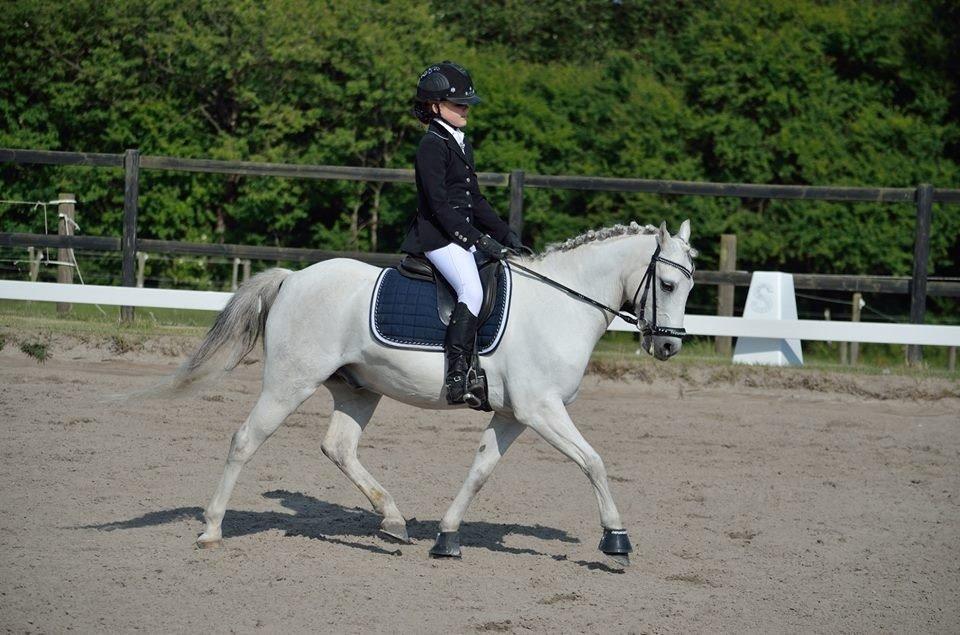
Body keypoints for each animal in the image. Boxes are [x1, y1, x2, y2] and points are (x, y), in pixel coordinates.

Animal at [165, 219, 696, 565]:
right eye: (668, 284)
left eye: (689, 287)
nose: (668, 345)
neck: (559, 305)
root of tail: (293, 278)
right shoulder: (540, 409)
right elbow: (593, 462)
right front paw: (616, 539)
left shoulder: (513, 415)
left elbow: (480, 472)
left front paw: (446, 537)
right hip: (289, 382)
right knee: (245, 440)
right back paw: (211, 530)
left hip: (359, 390)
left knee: (338, 447)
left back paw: (393, 520)